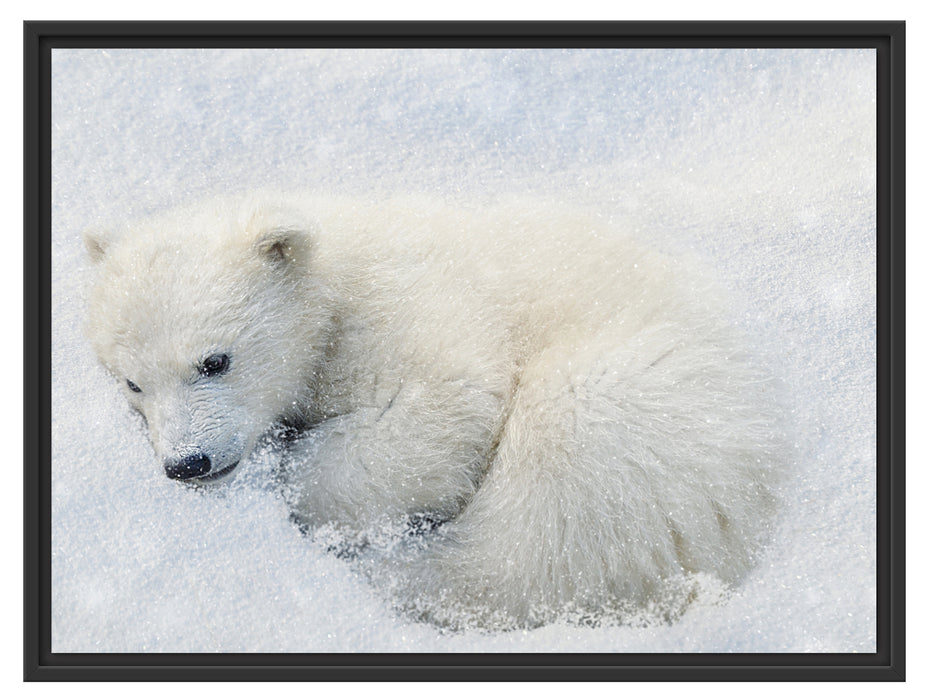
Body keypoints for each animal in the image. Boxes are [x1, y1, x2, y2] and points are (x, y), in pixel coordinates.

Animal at [83, 191, 792, 628]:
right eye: (133, 382)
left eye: (215, 360)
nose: (188, 463)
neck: (338, 280)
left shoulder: (408, 312)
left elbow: (440, 408)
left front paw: (292, 482)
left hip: (641, 413)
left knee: (538, 529)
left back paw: (396, 574)